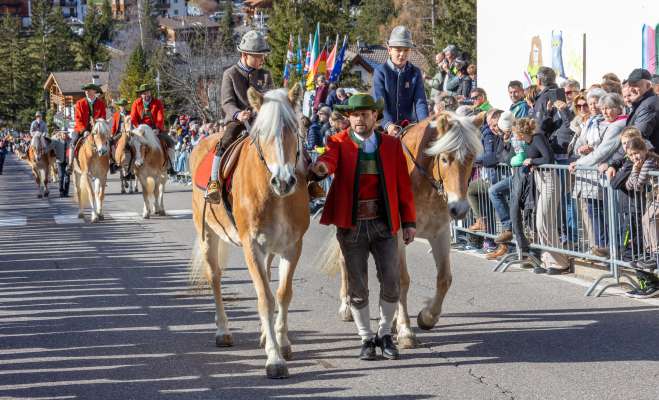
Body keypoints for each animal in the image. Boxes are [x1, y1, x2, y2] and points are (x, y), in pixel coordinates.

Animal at [187, 84, 308, 378]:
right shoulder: (252, 246)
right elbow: (264, 298)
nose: (284, 181)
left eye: (293, 129)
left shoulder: (292, 246)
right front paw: (275, 359)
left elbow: (282, 294)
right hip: (207, 235)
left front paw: (281, 342)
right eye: (262, 132)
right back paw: (223, 331)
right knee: (215, 277)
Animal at [328, 111, 482, 348]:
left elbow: (444, 278)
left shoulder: (440, 233)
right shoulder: (398, 235)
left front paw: (427, 317)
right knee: (346, 262)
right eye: (445, 158)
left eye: (472, 158)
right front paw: (405, 331)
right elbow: (402, 280)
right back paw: (346, 307)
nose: (460, 209)